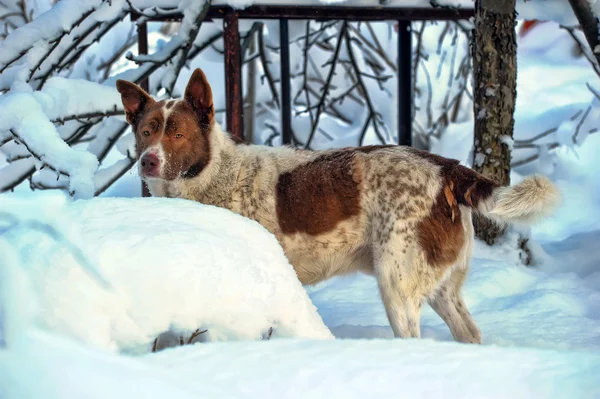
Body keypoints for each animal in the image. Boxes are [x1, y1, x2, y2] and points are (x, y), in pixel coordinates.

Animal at [118, 68, 564, 344]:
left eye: (177, 134)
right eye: (146, 132)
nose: (148, 161)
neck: (213, 175)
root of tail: (446, 167)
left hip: (397, 281)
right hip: (440, 285)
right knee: (468, 333)